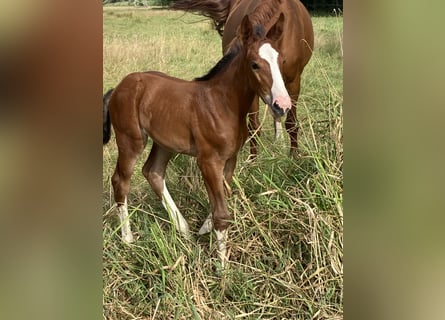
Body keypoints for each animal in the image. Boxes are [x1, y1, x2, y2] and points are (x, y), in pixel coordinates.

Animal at [104, 12, 292, 268]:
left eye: (281, 62)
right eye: (255, 64)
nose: (282, 105)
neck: (223, 103)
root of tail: (118, 88)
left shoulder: (230, 158)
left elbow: (223, 196)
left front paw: (204, 228)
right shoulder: (208, 161)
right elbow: (222, 213)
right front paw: (222, 267)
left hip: (164, 143)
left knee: (153, 172)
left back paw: (183, 229)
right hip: (130, 140)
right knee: (121, 181)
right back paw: (128, 239)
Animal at [170, 0, 312, 158]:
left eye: (283, 61)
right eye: (253, 65)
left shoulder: (293, 82)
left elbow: (292, 122)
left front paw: (294, 156)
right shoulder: (252, 85)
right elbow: (254, 126)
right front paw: (253, 160)